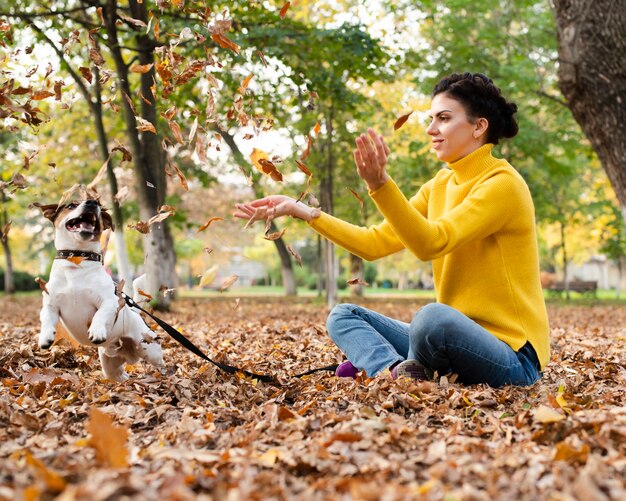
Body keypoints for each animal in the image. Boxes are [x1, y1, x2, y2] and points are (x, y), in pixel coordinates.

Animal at [35, 198, 163, 378]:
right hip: (109, 364)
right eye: (71, 205)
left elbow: (101, 314)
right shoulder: (50, 304)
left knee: (162, 364)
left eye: (99, 208)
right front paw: (45, 336)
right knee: (118, 375)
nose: (92, 202)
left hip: (150, 349)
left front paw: (96, 330)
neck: (77, 261)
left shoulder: (109, 300)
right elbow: (46, 317)